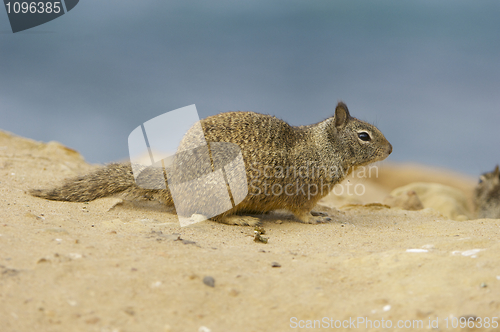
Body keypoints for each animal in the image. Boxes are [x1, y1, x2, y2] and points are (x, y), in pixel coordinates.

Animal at [30, 102, 394, 226]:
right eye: (364, 136)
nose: (391, 149)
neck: (322, 148)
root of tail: (170, 181)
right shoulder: (300, 192)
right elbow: (301, 211)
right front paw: (315, 218)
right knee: (212, 216)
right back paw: (242, 219)